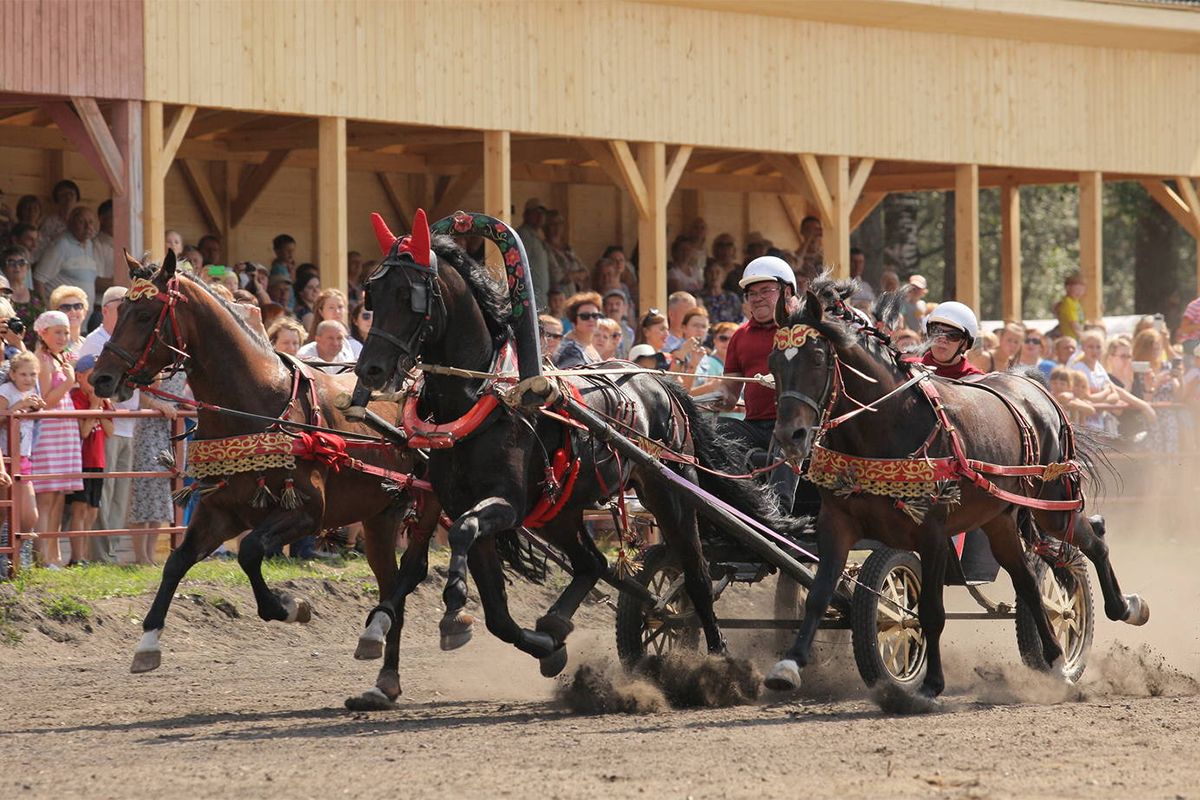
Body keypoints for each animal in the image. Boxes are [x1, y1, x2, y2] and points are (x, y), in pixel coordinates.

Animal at [91, 251, 438, 709]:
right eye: (119, 312)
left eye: (146, 314)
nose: (100, 378)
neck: (255, 404)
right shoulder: (220, 511)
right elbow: (177, 561)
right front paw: (148, 642)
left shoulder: (306, 513)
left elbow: (251, 552)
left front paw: (290, 606)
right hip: (381, 515)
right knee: (391, 581)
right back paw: (383, 674)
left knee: (413, 571)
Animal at [352, 209, 803, 677]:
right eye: (372, 294)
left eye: (408, 295)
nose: (370, 369)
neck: (484, 397)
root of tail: (660, 383)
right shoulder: (461, 501)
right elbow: (496, 612)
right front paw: (546, 645)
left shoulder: (506, 505)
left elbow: (464, 533)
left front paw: (455, 607)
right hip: (560, 512)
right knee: (595, 563)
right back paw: (572, 625)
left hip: (670, 493)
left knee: (694, 573)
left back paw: (717, 656)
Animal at [762, 279, 1149, 701]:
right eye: (774, 363)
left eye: (817, 358)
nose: (789, 435)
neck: (887, 427)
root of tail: (1034, 387)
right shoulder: (837, 523)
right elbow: (818, 595)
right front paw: (788, 665)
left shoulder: (932, 533)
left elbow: (930, 612)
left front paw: (931, 683)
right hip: (999, 520)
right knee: (1029, 583)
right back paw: (1054, 658)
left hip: (1052, 505)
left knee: (1092, 540)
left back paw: (1126, 607)